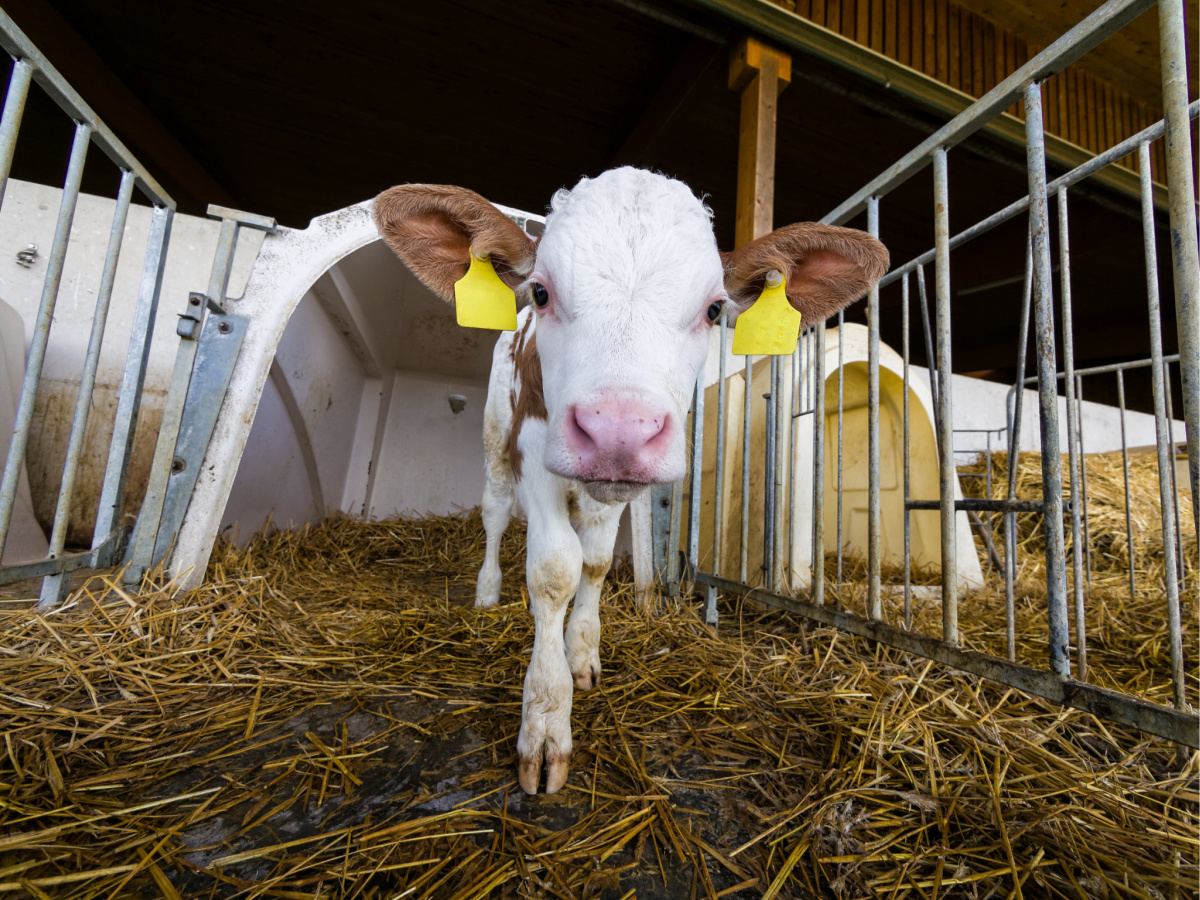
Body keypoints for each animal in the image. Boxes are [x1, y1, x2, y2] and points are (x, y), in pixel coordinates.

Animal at [373, 168, 888, 794]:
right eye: (541, 292)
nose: (618, 430)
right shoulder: (533, 447)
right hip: (496, 439)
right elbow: (553, 571)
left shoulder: (619, 491)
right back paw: (487, 593)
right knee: (494, 514)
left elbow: (593, 564)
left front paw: (581, 654)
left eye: (715, 310)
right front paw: (545, 721)